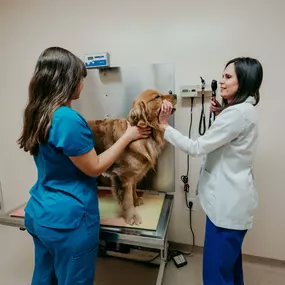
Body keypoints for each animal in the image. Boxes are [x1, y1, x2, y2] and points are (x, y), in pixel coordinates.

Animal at [87, 89, 175, 224]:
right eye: (157, 97)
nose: (175, 95)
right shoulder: (123, 175)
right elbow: (127, 198)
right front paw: (132, 216)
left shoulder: (133, 173)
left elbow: (133, 188)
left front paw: (136, 200)